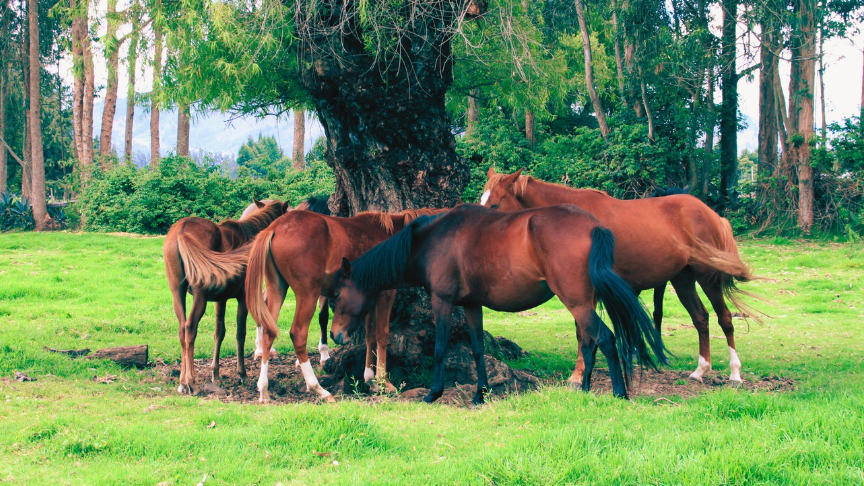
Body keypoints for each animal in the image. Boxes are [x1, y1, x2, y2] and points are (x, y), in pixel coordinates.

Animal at [164, 199, 288, 395]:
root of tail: (181, 231)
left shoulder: (220, 300)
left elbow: (219, 333)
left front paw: (216, 374)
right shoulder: (242, 298)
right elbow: (240, 333)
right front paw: (242, 373)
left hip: (177, 292)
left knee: (182, 329)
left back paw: (182, 382)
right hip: (199, 296)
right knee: (190, 328)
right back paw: (191, 381)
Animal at [245, 208, 448, 403]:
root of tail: (275, 227)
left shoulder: (370, 296)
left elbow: (370, 335)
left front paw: (371, 380)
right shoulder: (385, 294)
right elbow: (382, 334)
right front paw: (384, 382)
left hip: (277, 288)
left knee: (268, 333)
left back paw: (264, 390)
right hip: (308, 295)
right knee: (298, 334)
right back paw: (319, 389)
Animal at [328, 204, 667, 404]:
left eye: (337, 296)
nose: (335, 335)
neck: (433, 240)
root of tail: (592, 225)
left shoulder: (443, 302)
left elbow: (439, 349)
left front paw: (434, 393)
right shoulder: (471, 305)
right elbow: (478, 348)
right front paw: (481, 393)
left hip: (577, 302)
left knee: (605, 339)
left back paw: (619, 393)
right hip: (582, 303)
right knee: (588, 342)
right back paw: (582, 389)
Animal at [481, 168, 756, 385]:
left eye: (494, 204)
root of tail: (712, 214)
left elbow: (584, 332)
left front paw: (578, 376)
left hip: (706, 276)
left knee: (725, 318)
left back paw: (735, 374)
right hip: (683, 279)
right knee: (701, 318)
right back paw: (700, 371)